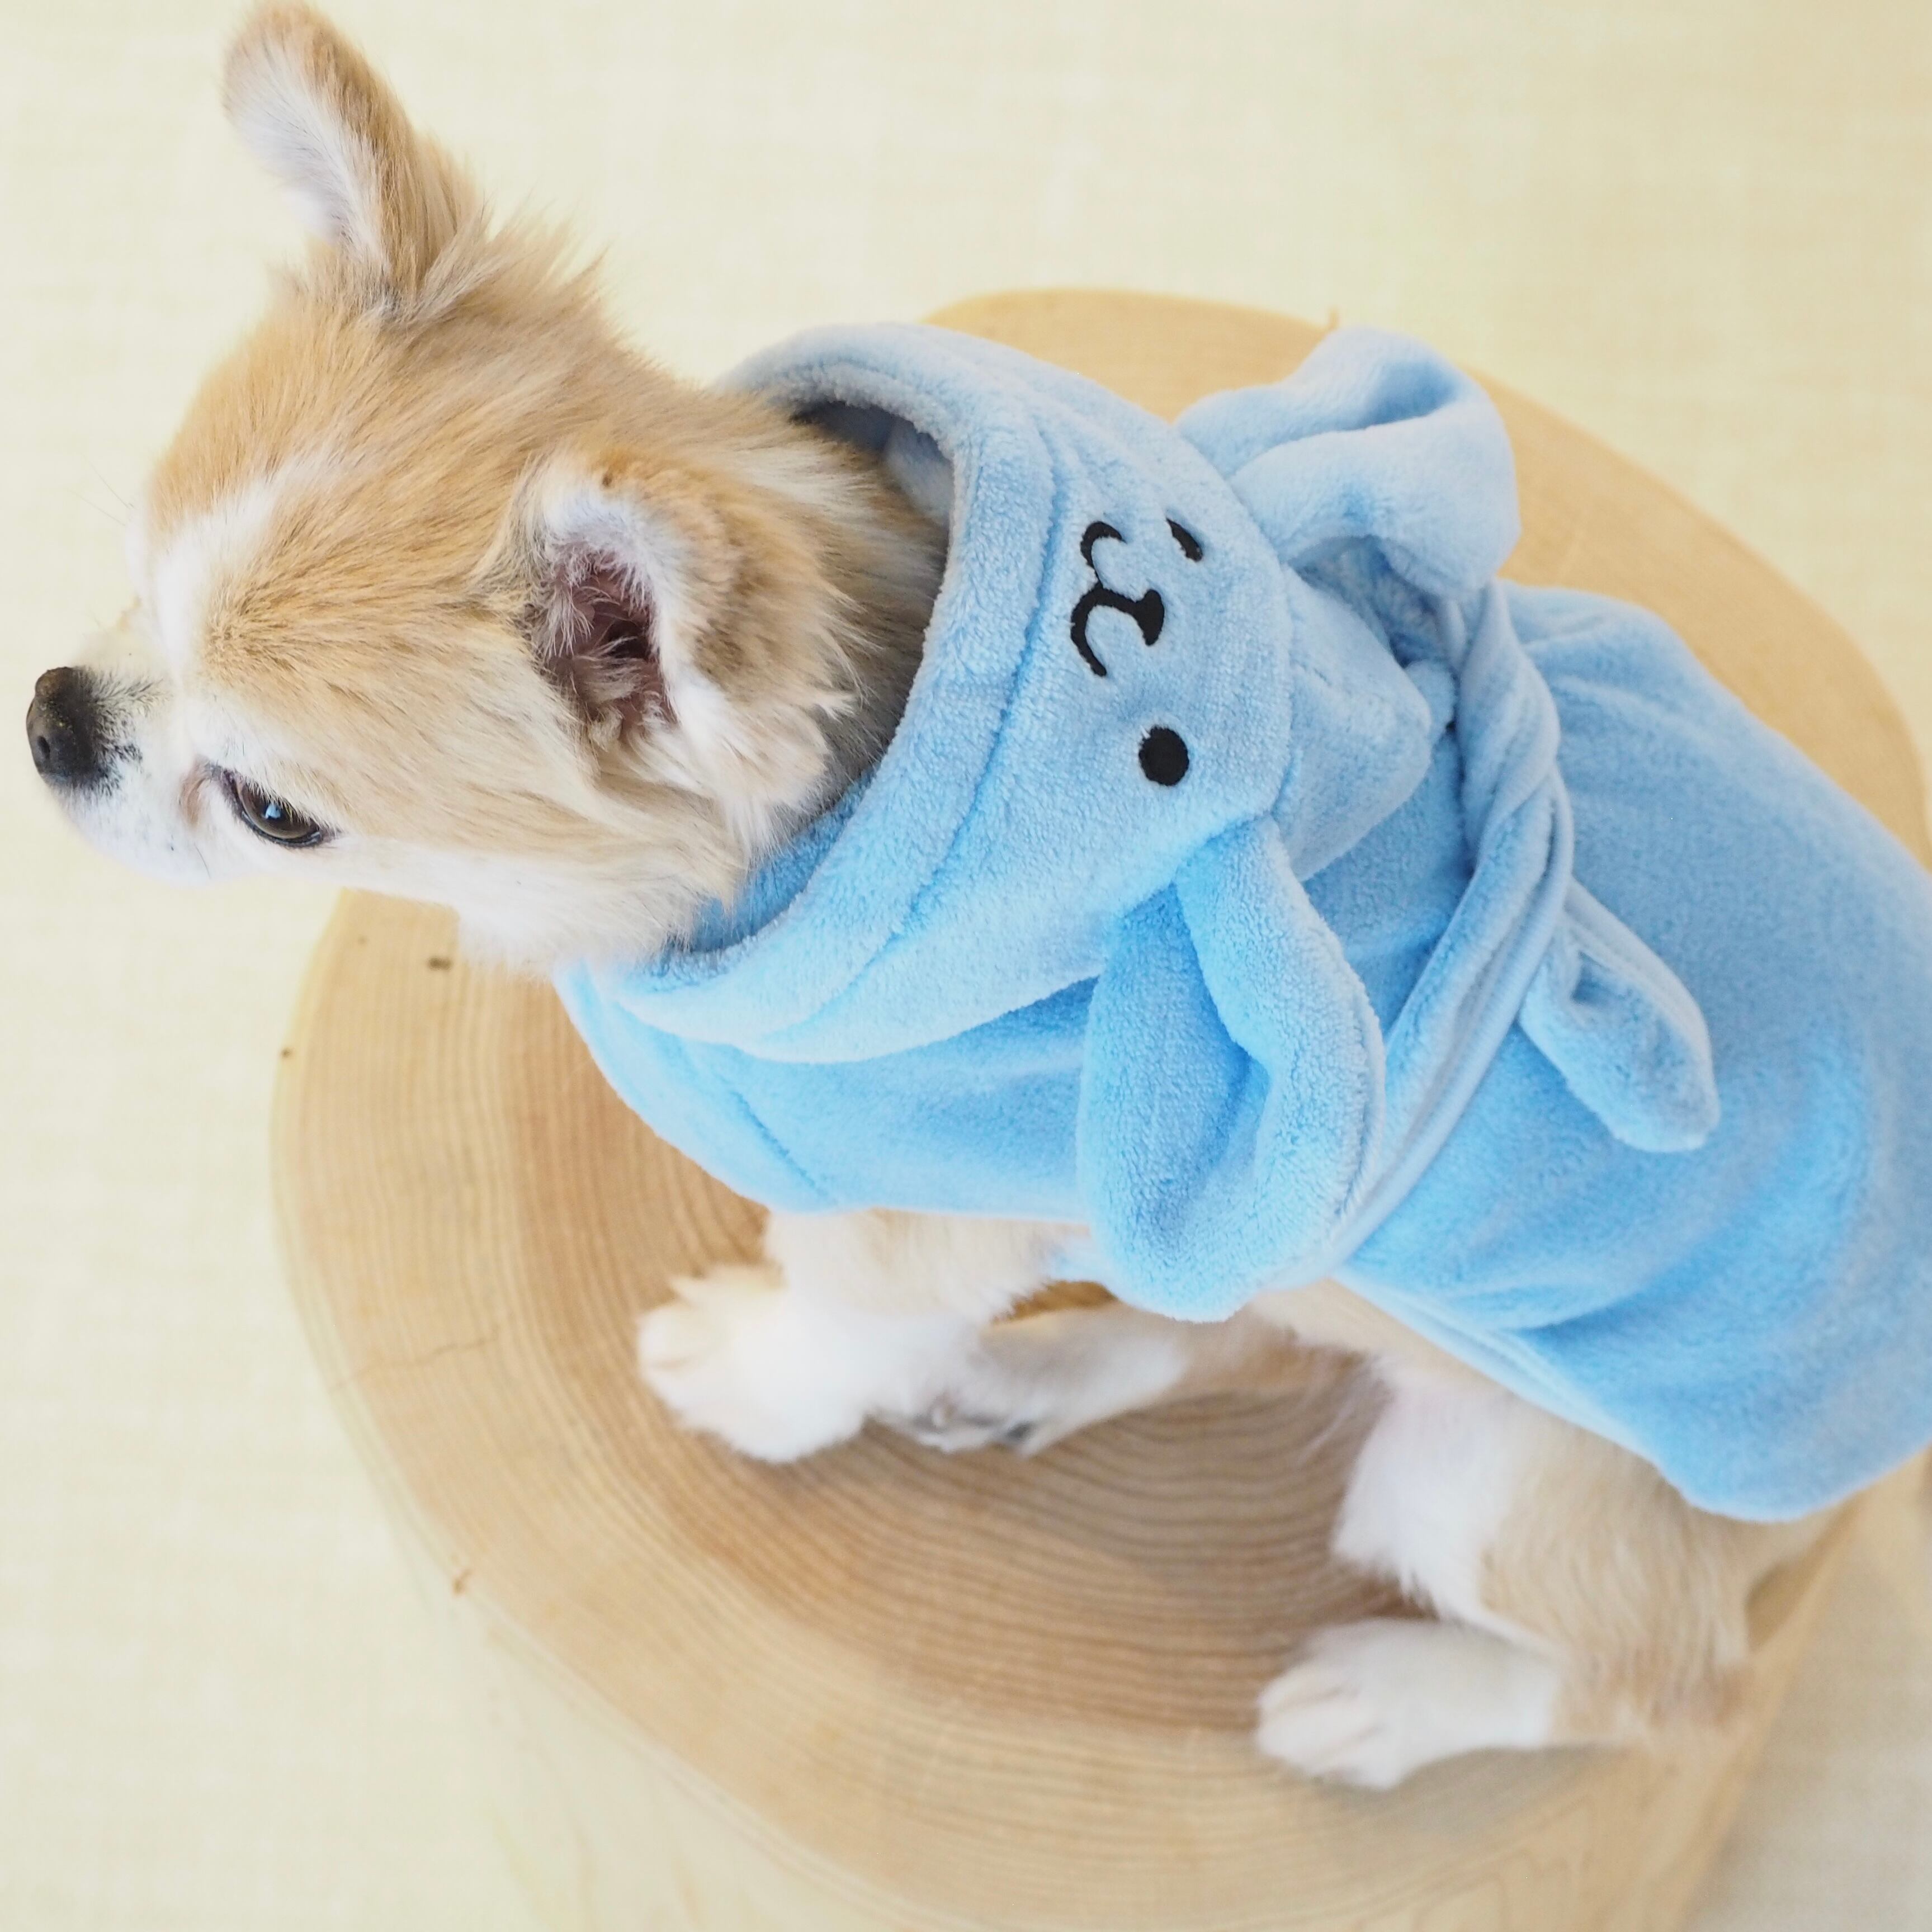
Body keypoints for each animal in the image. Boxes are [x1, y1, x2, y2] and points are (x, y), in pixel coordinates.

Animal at [26, 4, 1849, 1791]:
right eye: (132, 583)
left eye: (274, 809)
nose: (49, 717)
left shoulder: (925, 1204)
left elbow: (841, 1320)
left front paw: (753, 1378)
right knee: (1240, 1331)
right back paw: (1027, 1371)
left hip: (1494, 1481)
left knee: (1671, 1687)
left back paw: (1391, 1699)